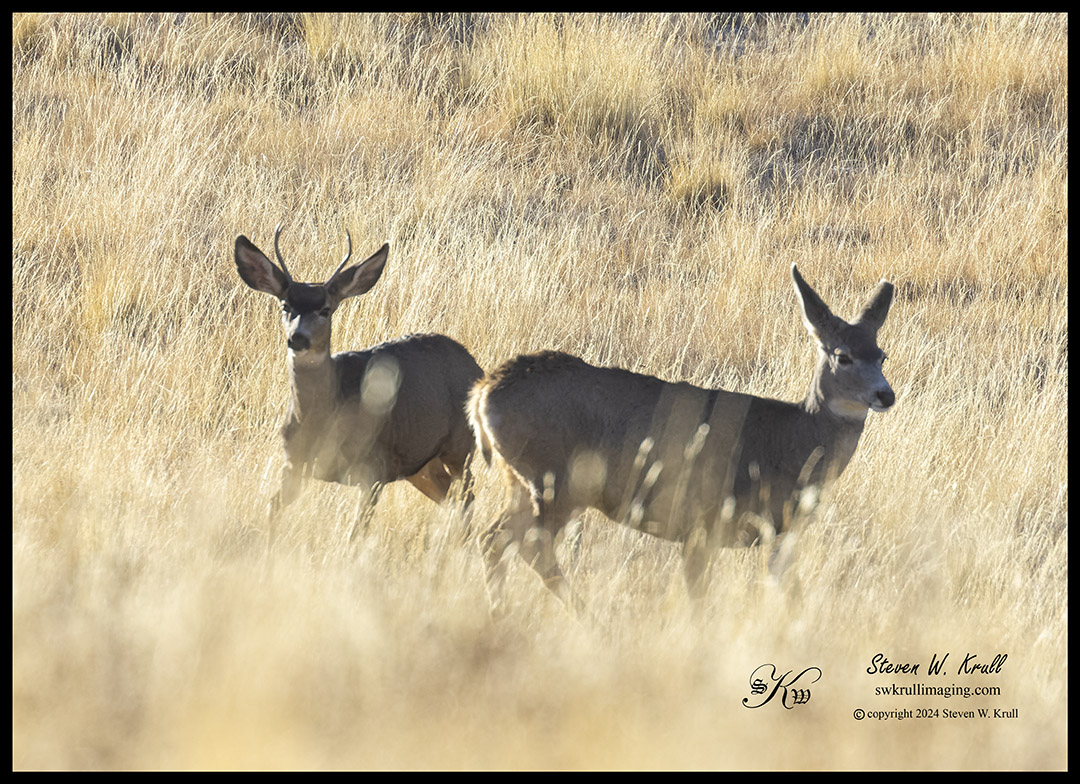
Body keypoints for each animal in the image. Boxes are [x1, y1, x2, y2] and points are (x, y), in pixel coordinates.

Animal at [234, 223, 484, 547]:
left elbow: (356, 533)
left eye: (326, 309)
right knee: (451, 498)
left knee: (467, 495)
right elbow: (272, 506)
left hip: (460, 446)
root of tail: (475, 365)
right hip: (419, 463)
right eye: (285, 304)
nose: (298, 338)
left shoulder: (373, 468)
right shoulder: (294, 464)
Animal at [469, 265, 894, 609]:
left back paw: (501, 611)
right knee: (531, 545)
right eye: (843, 356)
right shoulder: (702, 520)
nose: (885, 394)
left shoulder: (774, 536)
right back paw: (590, 619)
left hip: (521, 480)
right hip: (558, 480)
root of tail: (483, 393)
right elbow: (699, 596)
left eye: (882, 355)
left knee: (493, 538)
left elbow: (789, 593)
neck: (791, 440)